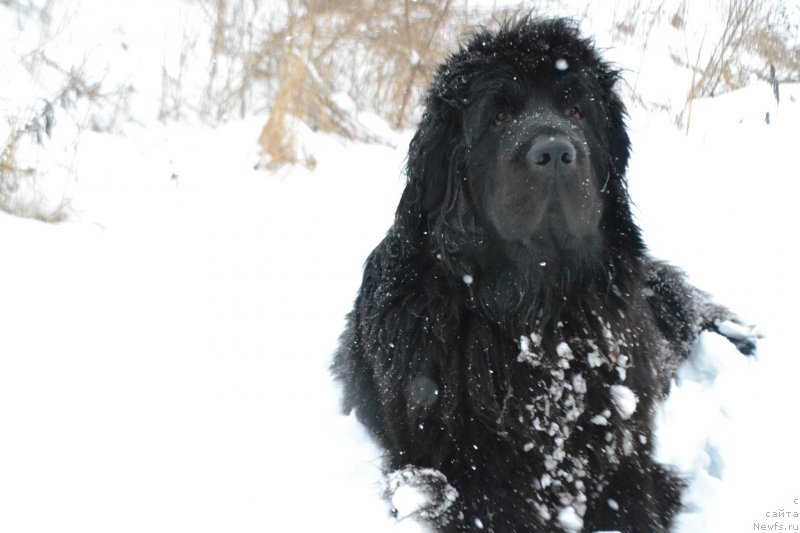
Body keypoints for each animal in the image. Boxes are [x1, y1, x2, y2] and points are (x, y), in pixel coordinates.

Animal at [332, 16, 756, 532]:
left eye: (575, 110)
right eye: (497, 117)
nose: (555, 152)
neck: (536, 315)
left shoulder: (622, 454)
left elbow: (633, 501)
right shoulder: (463, 471)